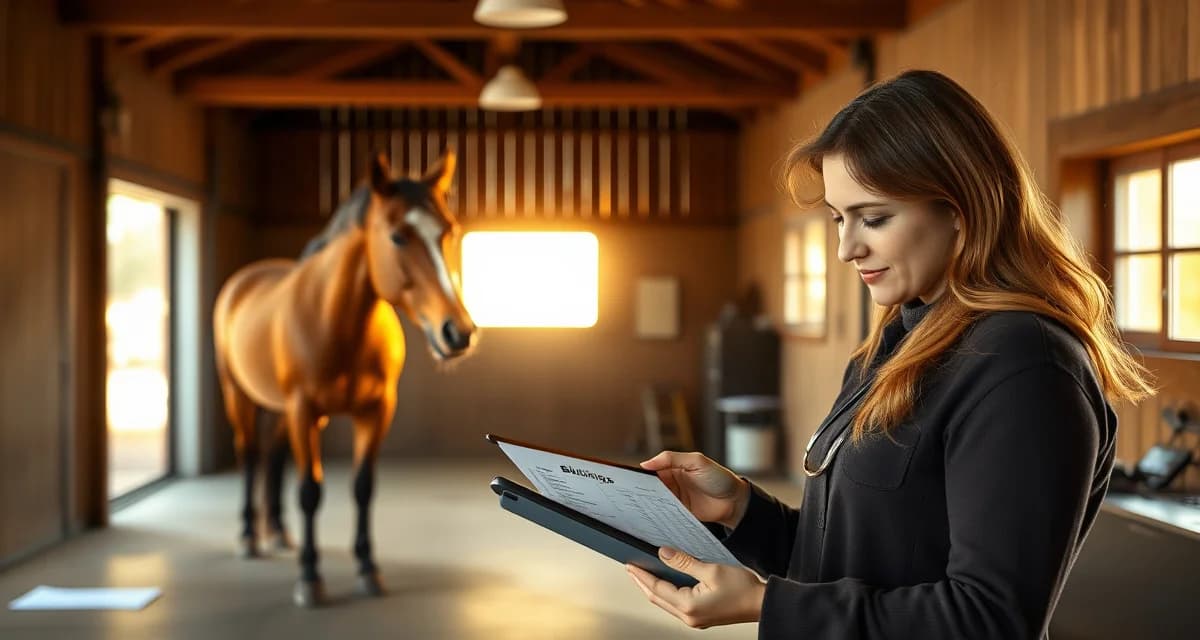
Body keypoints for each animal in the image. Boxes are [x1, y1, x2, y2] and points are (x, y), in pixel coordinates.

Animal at [213, 151, 477, 607]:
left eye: (449, 230)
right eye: (397, 237)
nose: (457, 332)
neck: (334, 320)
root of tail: (244, 280)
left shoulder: (375, 411)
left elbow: (363, 487)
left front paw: (368, 569)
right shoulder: (303, 410)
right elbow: (310, 491)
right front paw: (309, 577)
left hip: (283, 411)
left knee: (275, 455)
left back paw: (278, 532)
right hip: (240, 396)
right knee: (249, 454)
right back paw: (248, 536)